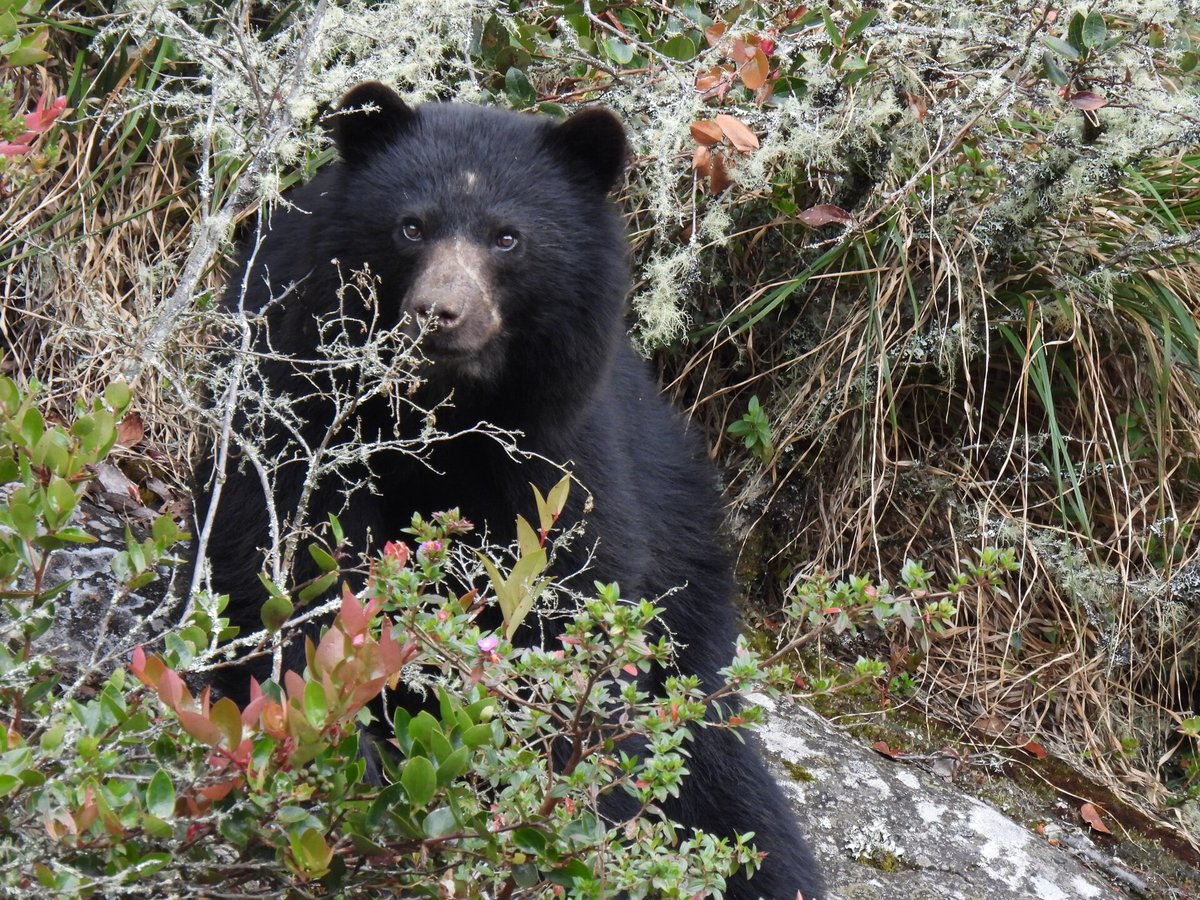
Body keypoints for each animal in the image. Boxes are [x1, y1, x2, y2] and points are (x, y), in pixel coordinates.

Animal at [196, 81, 824, 900]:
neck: (444, 409)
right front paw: (338, 761)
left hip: (688, 598)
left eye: (507, 238)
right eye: (410, 226)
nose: (439, 315)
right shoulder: (288, 382)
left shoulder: (559, 449)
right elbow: (282, 561)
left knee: (722, 776)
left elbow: (570, 606)